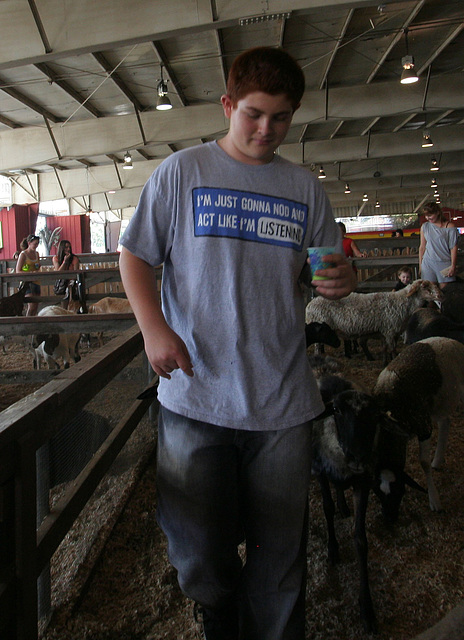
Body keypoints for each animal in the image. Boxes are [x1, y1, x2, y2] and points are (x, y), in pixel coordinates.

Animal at [306, 282, 444, 364]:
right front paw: (393, 360)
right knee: (317, 346)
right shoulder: (390, 330)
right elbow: (393, 349)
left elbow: (385, 348)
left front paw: (385, 361)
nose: (440, 296)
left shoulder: (387, 331)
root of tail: (310, 304)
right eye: (425, 287)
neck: (403, 302)